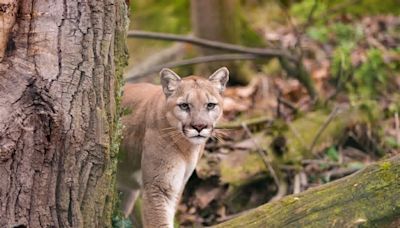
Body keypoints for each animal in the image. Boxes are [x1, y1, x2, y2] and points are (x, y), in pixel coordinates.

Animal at [117, 67, 230, 227]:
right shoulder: (158, 187)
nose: (199, 126)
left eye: (210, 105)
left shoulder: (177, 186)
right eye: (184, 105)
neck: (188, 148)